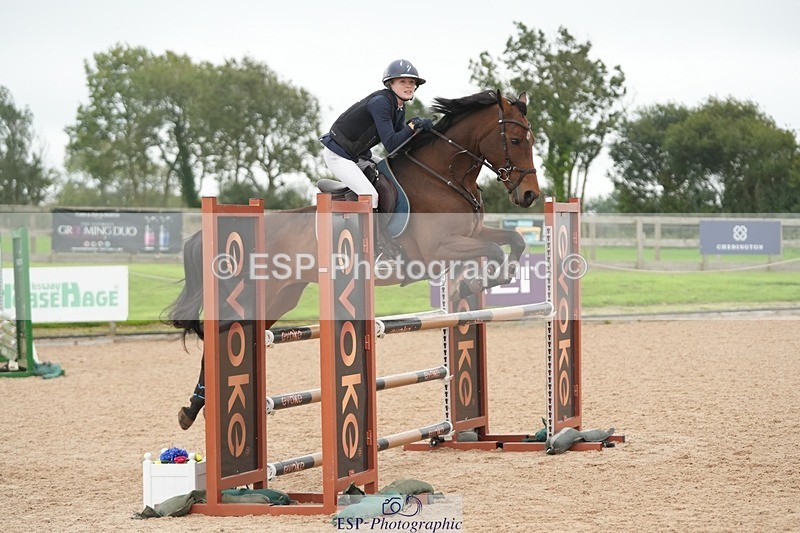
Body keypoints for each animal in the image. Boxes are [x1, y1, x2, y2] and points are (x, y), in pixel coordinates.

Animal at [168, 89, 541, 429]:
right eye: (517, 140)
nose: (529, 195)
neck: (443, 176)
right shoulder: (439, 248)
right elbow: (494, 252)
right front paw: (470, 284)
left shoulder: (472, 234)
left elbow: (515, 240)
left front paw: (481, 281)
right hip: (252, 296)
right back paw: (195, 407)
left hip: (280, 298)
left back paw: (196, 407)